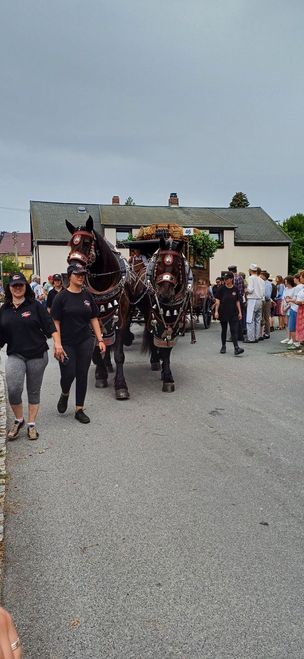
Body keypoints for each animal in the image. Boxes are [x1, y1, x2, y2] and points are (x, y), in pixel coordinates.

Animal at [66, 219, 131, 400]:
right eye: (71, 243)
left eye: (87, 243)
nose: (72, 270)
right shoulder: (93, 320)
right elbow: (97, 346)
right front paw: (101, 374)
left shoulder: (121, 319)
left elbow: (119, 354)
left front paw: (121, 385)